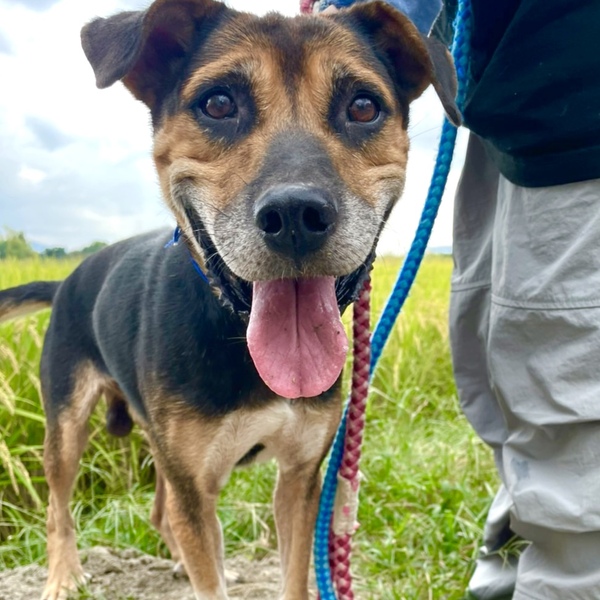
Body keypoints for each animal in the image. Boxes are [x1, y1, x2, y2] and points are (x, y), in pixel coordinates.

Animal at [0, 0, 458, 598]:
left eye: (363, 106)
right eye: (218, 104)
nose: (295, 216)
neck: (235, 332)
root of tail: (69, 278)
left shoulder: (300, 479)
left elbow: (291, 575)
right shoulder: (197, 484)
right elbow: (204, 567)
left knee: (160, 510)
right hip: (66, 422)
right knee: (61, 505)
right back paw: (62, 576)